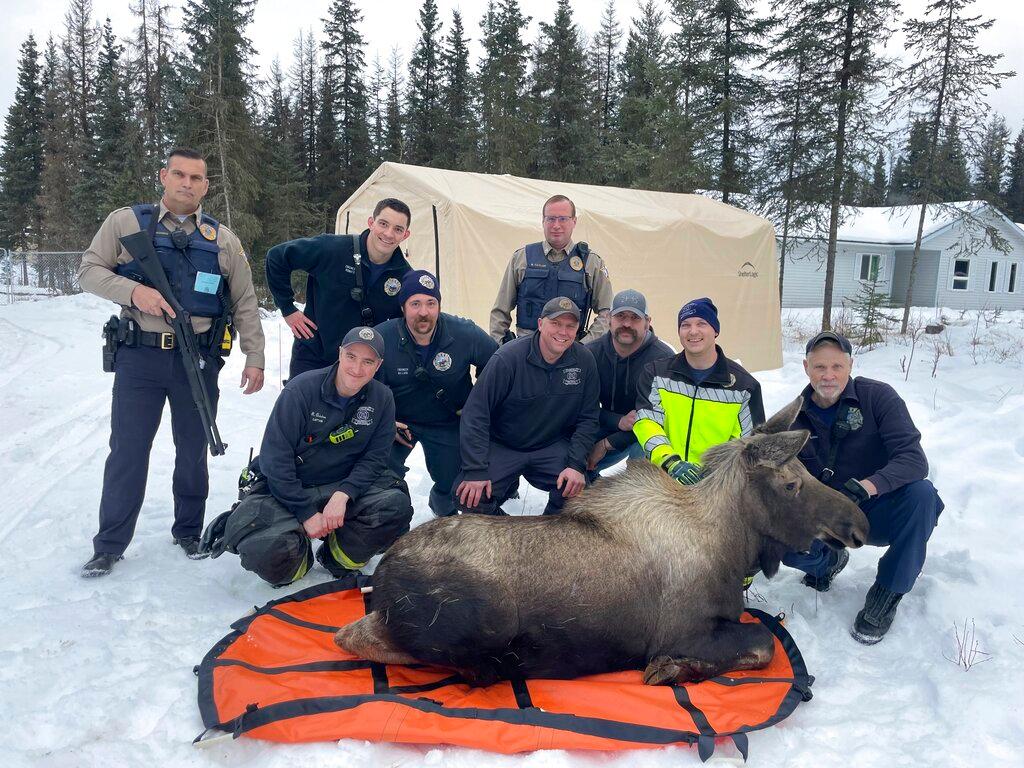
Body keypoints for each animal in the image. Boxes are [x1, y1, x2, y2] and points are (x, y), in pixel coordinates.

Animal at [337, 399, 872, 688]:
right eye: (791, 484)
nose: (859, 524)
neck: (731, 546)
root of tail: (382, 583)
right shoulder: (685, 629)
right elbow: (763, 644)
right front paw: (670, 669)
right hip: (485, 619)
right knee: (357, 637)